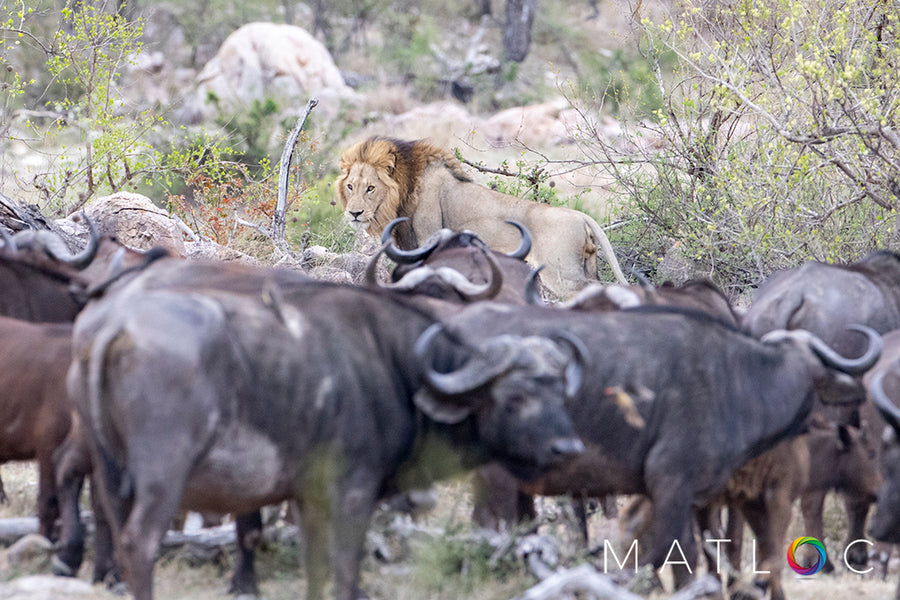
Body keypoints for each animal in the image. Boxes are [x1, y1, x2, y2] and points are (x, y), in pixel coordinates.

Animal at [336, 135, 624, 296]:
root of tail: (581, 216)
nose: (354, 213)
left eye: (371, 188)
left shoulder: (429, 236)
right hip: (586, 267)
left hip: (563, 275)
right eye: (350, 186)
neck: (406, 189)